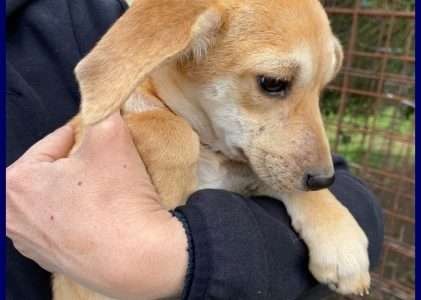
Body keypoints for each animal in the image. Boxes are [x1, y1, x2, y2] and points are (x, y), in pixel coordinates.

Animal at [51, 1, 368, 298]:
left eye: (321, 89)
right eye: (273, 83)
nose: (324, 179)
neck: (210, 152)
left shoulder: (246, 175)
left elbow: (278, 180)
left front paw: (343, 243)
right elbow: (171, 130)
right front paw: (171, 187)